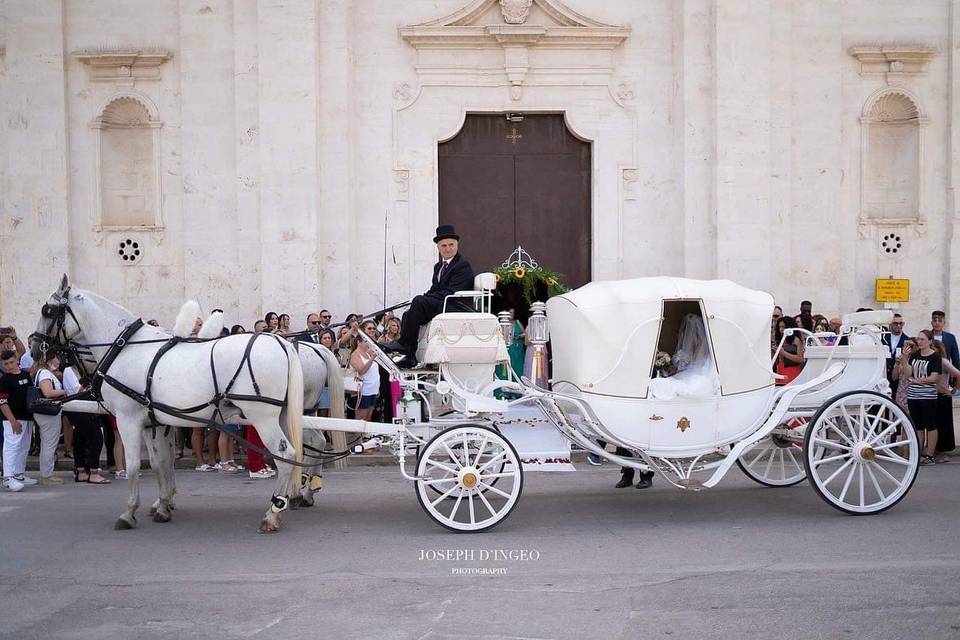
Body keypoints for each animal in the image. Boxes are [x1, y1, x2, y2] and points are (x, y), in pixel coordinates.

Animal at [31, 278, 308, 532]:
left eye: (47, 310)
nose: (34, 347)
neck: (125, 349)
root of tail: (282, 342)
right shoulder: (153, 422)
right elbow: (160, 463)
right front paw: (163, 506)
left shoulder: (129, 419)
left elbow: (134, 465)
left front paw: (129, 512)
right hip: (279, 415)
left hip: (263, 417)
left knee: (286, 455)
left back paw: (272, 513)